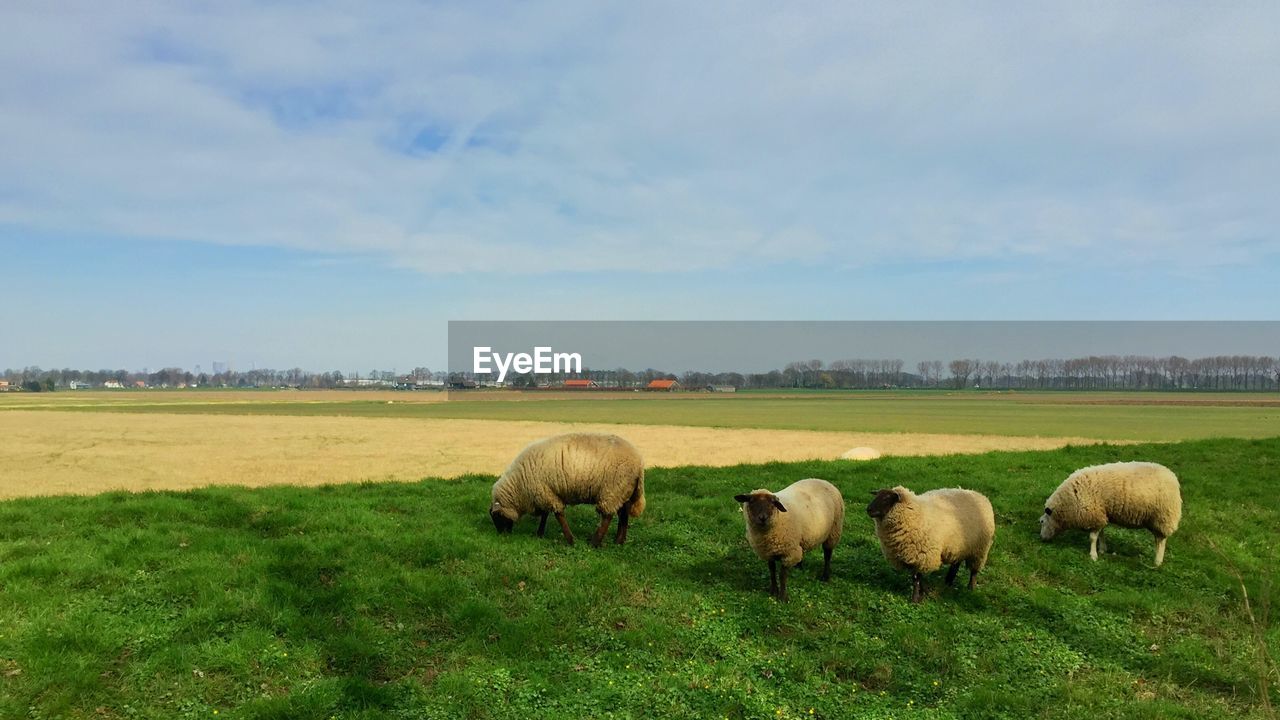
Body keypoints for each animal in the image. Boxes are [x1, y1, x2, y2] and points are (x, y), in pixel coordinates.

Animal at [488, 430, 650, 543]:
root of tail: (639, 462)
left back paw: (595, 542)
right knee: (624, 513)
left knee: (608, 515)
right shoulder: (546, 492)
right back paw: (619, 540)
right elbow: (546, 515)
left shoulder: (544, 492)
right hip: (623, 490)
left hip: (612, 489)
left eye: (496, 516)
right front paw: (540, 533)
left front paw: (570, 539)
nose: (501, 535)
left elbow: (558, 515)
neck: (519, 485)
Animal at [865, 484, 993, 602]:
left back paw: (971, 588)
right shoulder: (911, 557)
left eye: (887, 498)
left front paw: (915, 599)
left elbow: (916, 579)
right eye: (876, 495)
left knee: (974, 570)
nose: (868, 509)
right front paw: (924, 592)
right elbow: (918, 578)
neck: (915, 513)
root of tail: (979, 494)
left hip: (980, 548)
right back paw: (948, 581)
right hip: (961, 545)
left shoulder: (922, 555)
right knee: (956, 564)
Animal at [1039, 458, 1177, 566]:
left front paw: (1093, 555)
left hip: (1164, 517)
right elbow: (1101, 533)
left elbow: (1092, 538)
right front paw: (1102, 549)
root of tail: (1172, 476)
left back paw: (1157, 562)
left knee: (1161, 541)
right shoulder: (1100, 514)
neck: (1070, 499)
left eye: (1042, 522)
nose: (1041, 538)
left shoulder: (1093, 514)